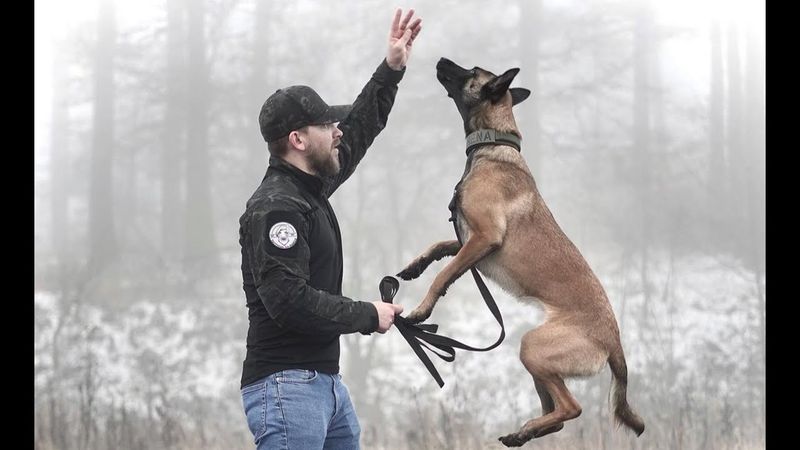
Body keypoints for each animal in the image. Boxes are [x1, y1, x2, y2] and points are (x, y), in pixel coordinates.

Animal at [396, 59, 648, 446]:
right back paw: (524, 431)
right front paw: (415, 265)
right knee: (555, 413)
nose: (439, 60)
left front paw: (422, 310)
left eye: (471, 70)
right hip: (538, 359)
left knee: (571, 407)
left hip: (533, 346)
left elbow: (444, 274)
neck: (493, 144)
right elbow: (439, 247)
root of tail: (614, 341)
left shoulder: (485, 237)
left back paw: (529, 429)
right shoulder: (470, 238)